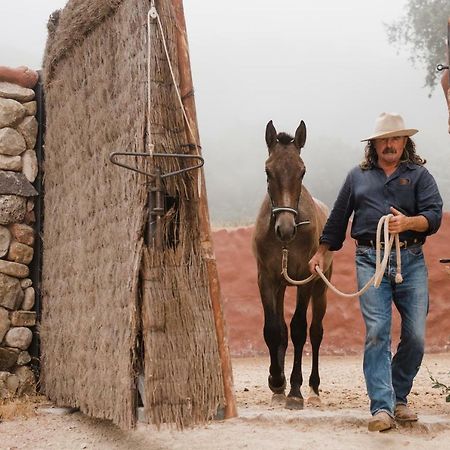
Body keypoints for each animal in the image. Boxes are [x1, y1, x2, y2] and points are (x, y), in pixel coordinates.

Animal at [251, 121, 332, 410]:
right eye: (267, 170)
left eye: (302, 171)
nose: (285, 229)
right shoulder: (266, 279)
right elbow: (273, 330)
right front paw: (277, 381)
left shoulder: (304, 279)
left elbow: (298, 329)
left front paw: (295, 391)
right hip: (282, 286)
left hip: (321, 287)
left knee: (316, 331)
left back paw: (313, 388)